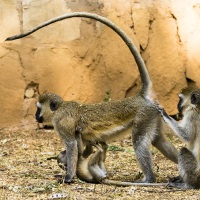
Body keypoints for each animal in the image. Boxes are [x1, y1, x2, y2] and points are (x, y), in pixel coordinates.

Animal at [5, 12, 178, 184]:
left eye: (38, 109)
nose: (36, 116)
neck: (60, 108)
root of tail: (141, 97)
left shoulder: (61, 123)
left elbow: (72, 146)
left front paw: (68, 177)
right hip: (153, 115)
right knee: (159, 140)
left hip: (143, 116)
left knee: (140, 142)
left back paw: (149, 179)